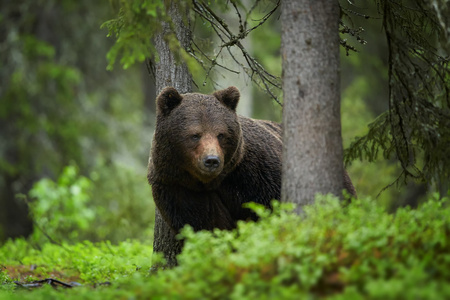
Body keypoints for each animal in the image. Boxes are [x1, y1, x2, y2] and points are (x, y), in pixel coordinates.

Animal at [148, 85, 356, 233]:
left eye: (221, 134)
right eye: (195, 135)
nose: (212, 160)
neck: (212, 182)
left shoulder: (256, 175)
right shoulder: (179, 188)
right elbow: (207, 225)